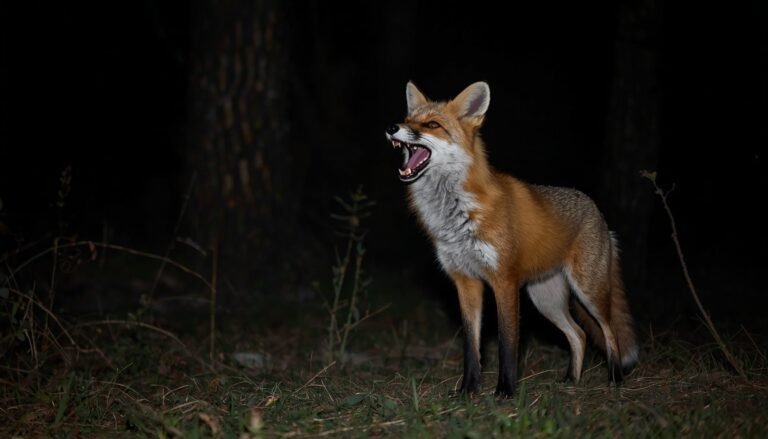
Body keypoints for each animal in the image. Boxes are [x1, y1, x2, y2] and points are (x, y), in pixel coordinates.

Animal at [384, 81, 638, 397]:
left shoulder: (504, 280)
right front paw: (468, 390)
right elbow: (472, 346)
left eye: (432, 125)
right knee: (579, 334)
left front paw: (505, 391)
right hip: (546, 300)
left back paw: (616, 378)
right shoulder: (465, 282)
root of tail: (597, 211)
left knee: (609, 330)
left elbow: (508, 343)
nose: (392, 127)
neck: (455, 215)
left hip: (588, 292)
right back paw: (571, 379)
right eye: (408, 119)